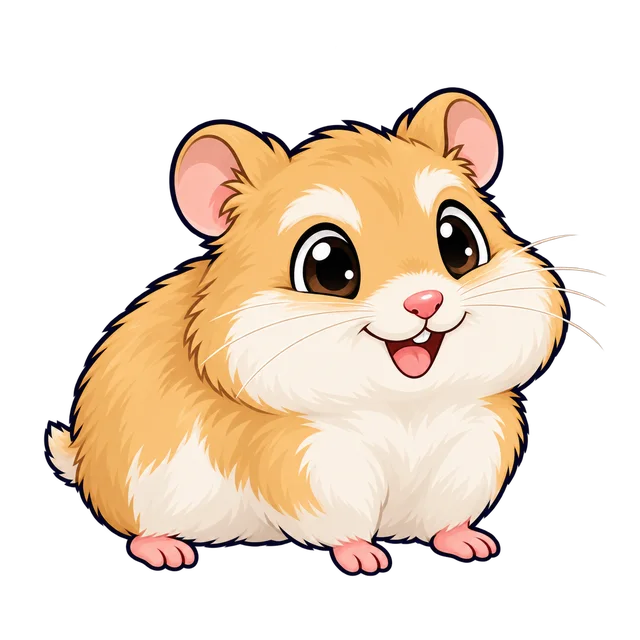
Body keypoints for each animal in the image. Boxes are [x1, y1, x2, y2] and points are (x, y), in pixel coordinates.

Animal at [43, 89, 605, 575]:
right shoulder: (311, 467)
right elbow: (340, 525)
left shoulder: (472, 449)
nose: (426, 300)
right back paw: (167, 552)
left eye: (460, 242)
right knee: (137, 528)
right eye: (329, 267)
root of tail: (84, 463)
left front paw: (472, 545)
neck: (403, 405)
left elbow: (447, 518)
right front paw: (366, 559)